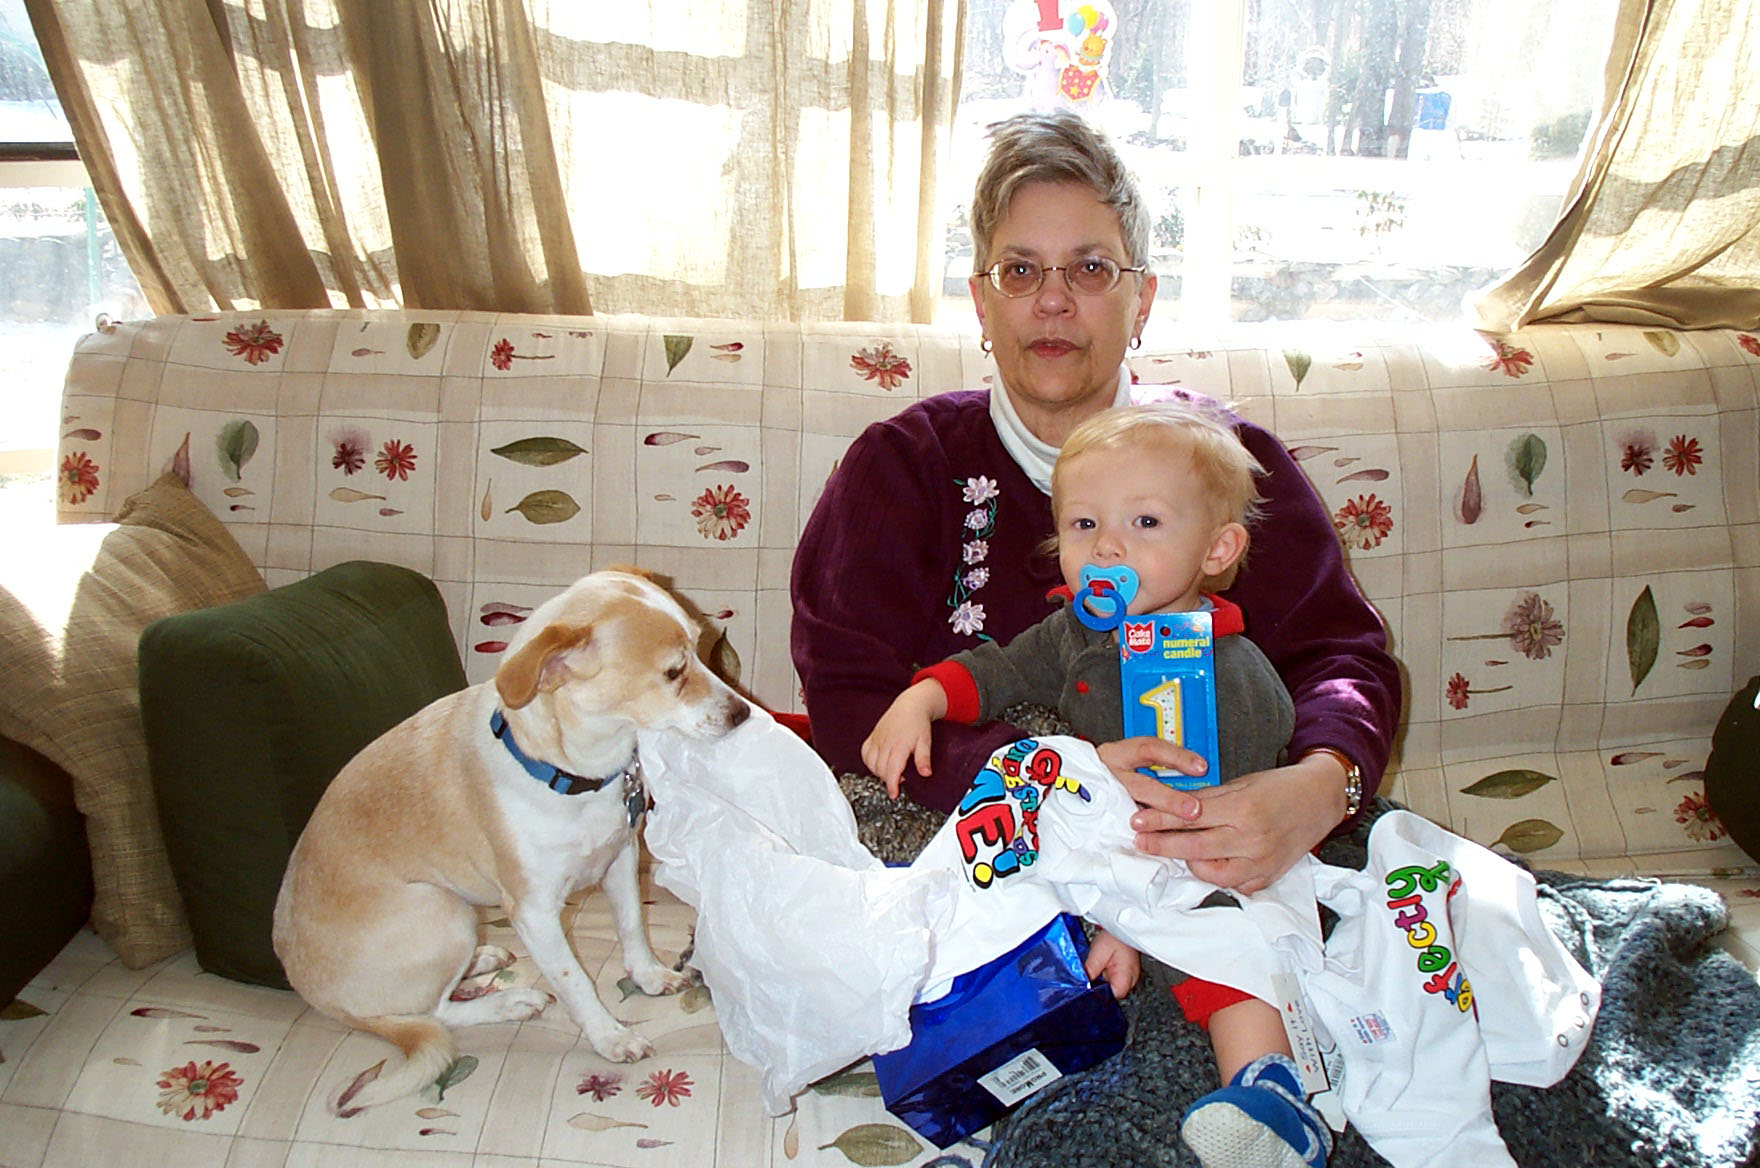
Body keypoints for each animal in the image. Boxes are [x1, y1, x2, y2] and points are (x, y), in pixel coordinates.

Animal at [272, 566, 750, 1113]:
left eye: (700, 645)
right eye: (673, 672)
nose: (742, 714)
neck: (577, 776)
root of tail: (309, 990)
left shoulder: (621, 859)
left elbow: (631, 926)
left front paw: (649, 977)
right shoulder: (535, 914)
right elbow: (574, 980)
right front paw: (610, 1036)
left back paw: (484, 960)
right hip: (443, 911)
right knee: (435, 1012)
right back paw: (511, 999)